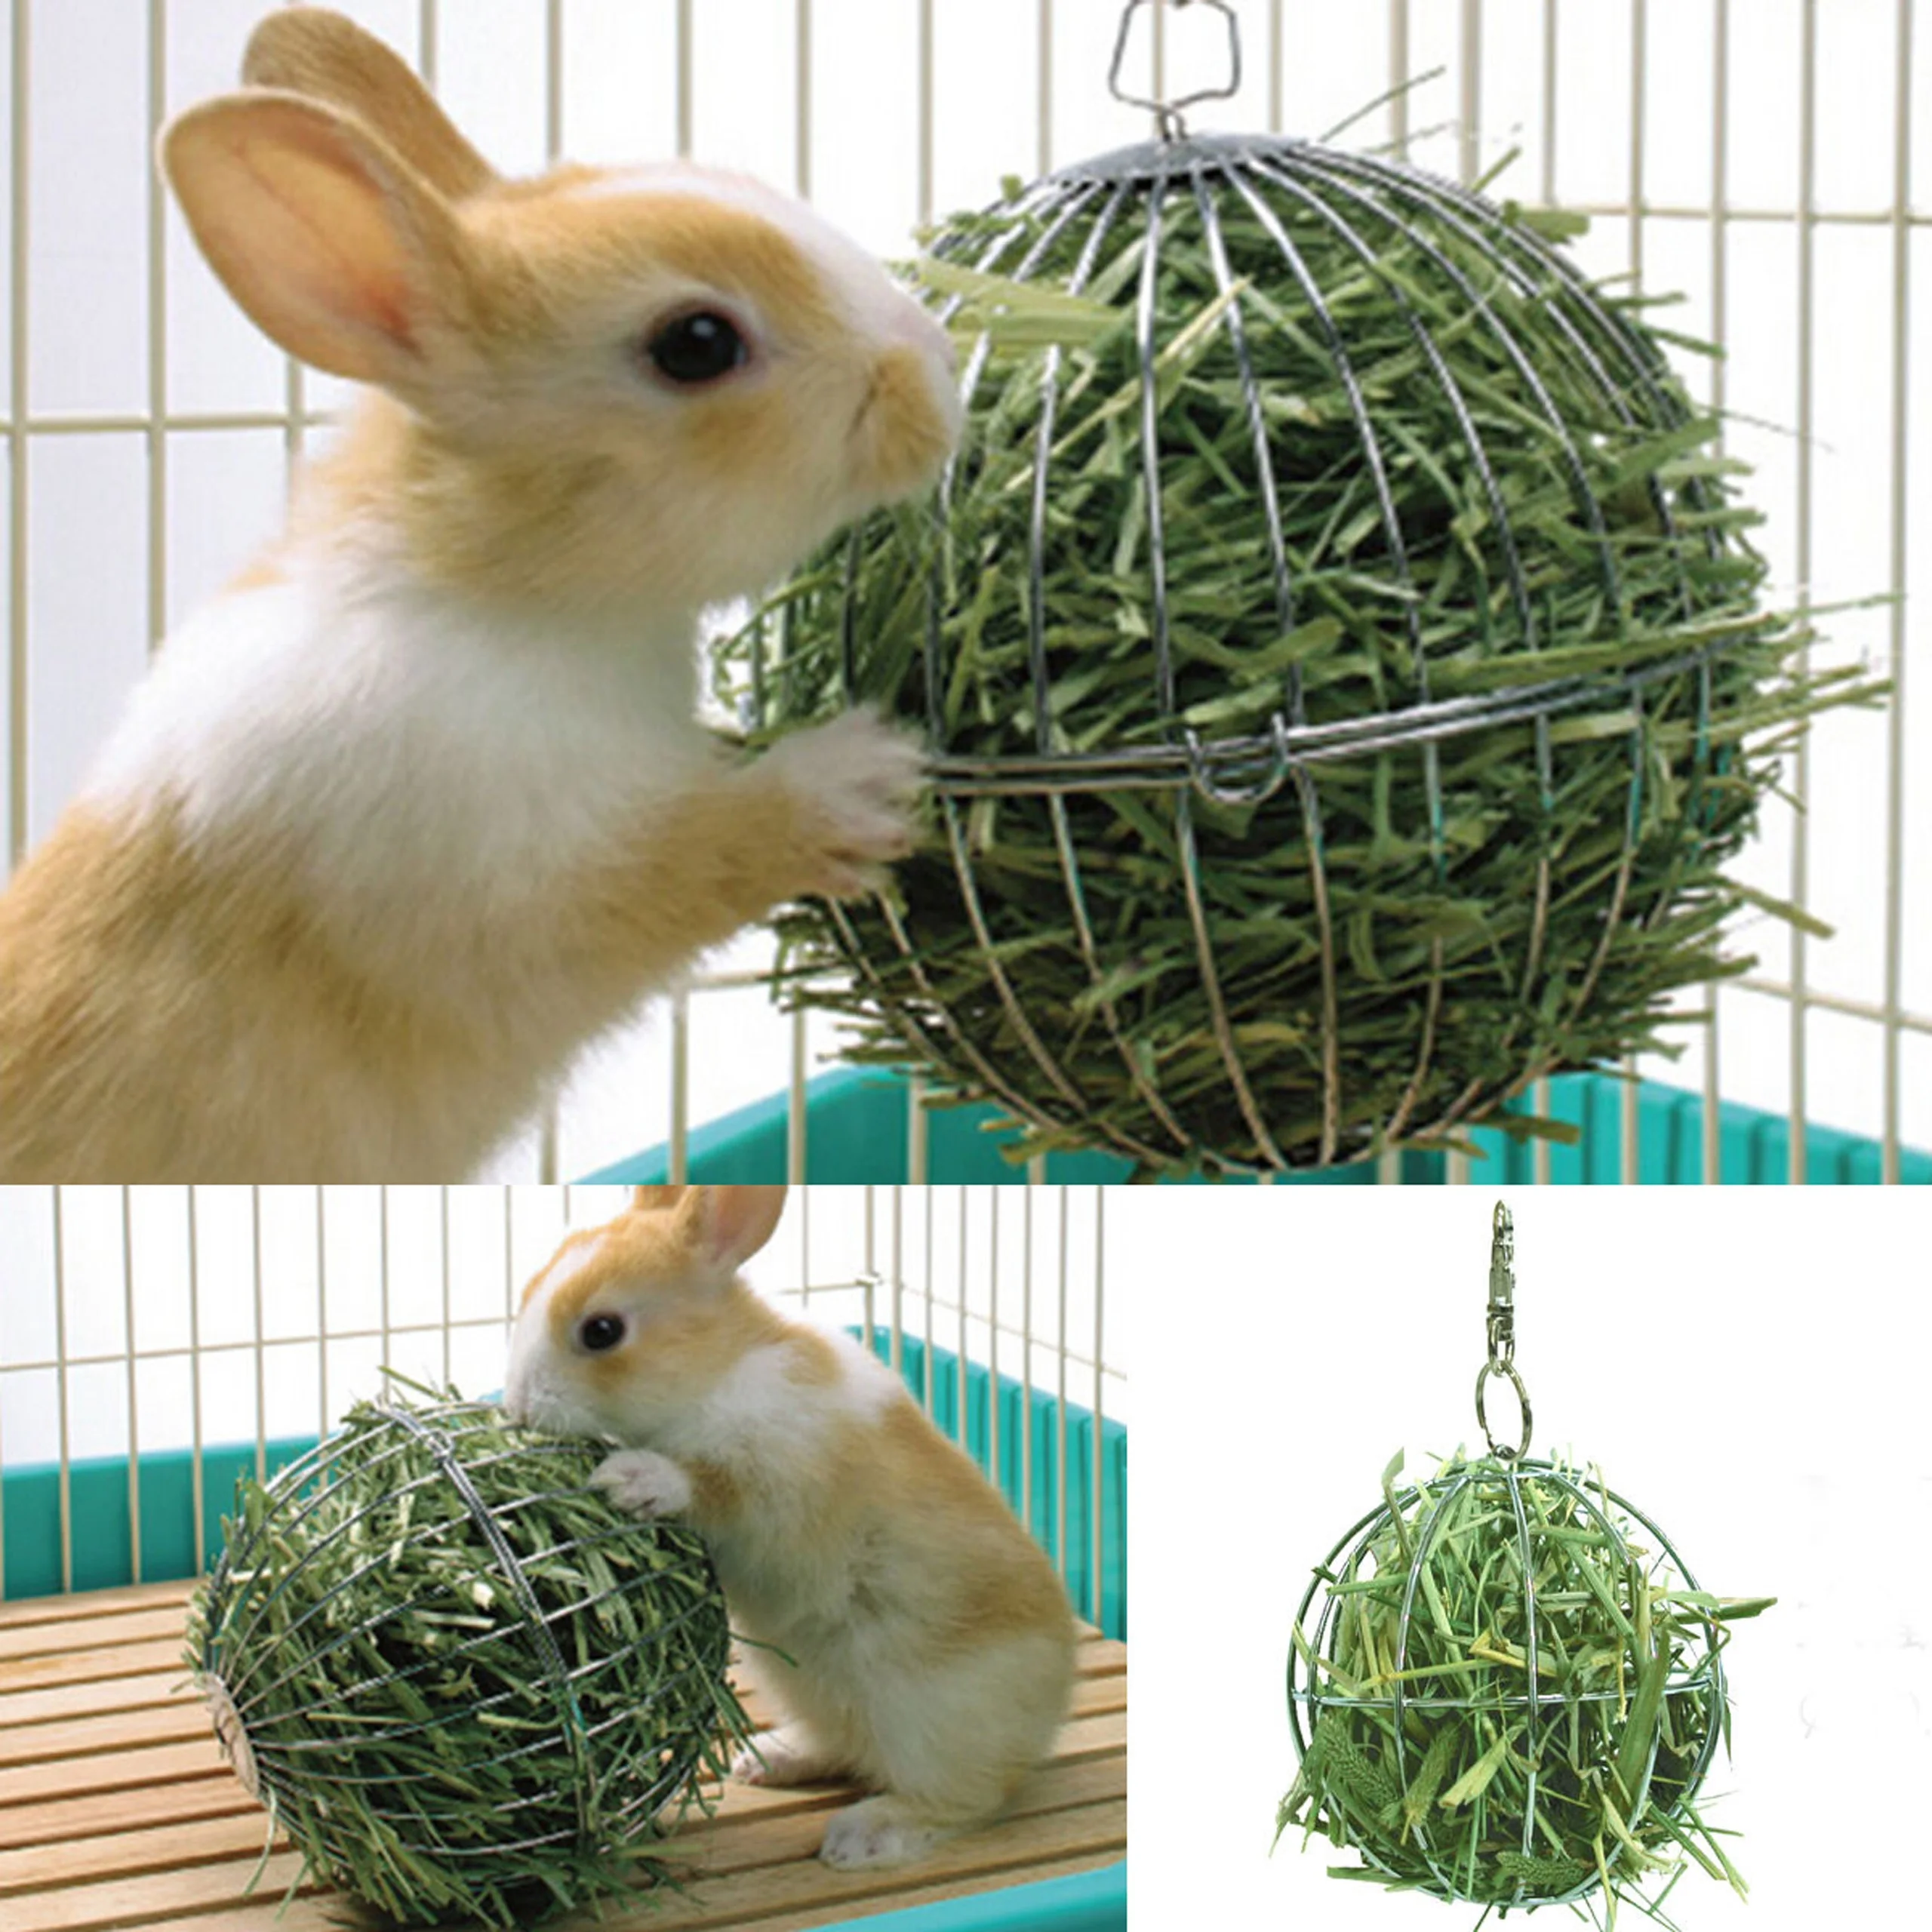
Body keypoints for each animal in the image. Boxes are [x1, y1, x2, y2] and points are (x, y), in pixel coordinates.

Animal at [0, 7, 961, 1181]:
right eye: (696, 343)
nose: (939, 366)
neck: (494, 596)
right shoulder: (514, 878)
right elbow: (694, 856)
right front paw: (866, 776)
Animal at [502, 1184, 1078, 1871]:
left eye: (602, 1331)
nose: (516, 1406)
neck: (718, 1370)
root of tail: (1051, 1712)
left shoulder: (778, 1479)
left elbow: (711, 1487)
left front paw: (630, 1480)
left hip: (929, 1721)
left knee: (968, 1800)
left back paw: (861, 1838)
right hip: (808, 1690)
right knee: (846, 1747)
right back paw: (766, 1762)